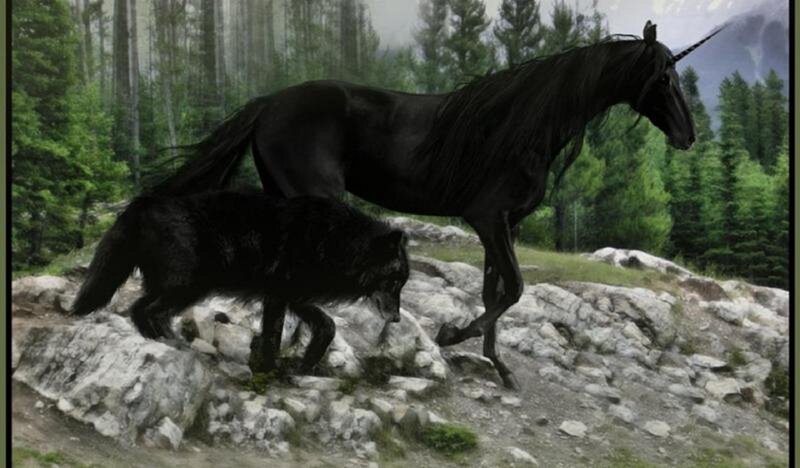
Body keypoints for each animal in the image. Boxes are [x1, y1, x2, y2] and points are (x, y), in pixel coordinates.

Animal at [70, 191, 410, 374]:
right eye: (395, 281)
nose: (396, 318)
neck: (336, 241)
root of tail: (143, 202)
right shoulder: (281, 295)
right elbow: (279, 335)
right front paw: (271, 370)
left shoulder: (291, 297)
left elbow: (325, 326)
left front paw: (303, 364)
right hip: (188, 287)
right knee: (144, 310)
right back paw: (170, 342)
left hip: (177, 287)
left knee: (142, 310)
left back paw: (167, 340)